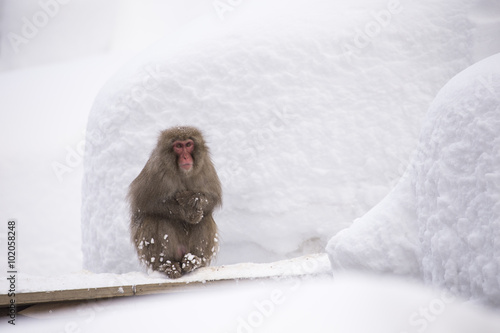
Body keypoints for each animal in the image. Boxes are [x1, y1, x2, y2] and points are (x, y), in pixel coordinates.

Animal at [128, 126, 222, 276]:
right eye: (178, 146)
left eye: (188, 144)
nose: (185, 156)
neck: (182, 173)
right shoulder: (156, 171)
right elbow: (144, 204)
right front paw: (187, 211)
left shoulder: (205, 166)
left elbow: (213, 198)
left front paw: (194, 199)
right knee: (158, 218)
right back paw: (166, 264)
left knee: (205, 218)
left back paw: (194, 261)